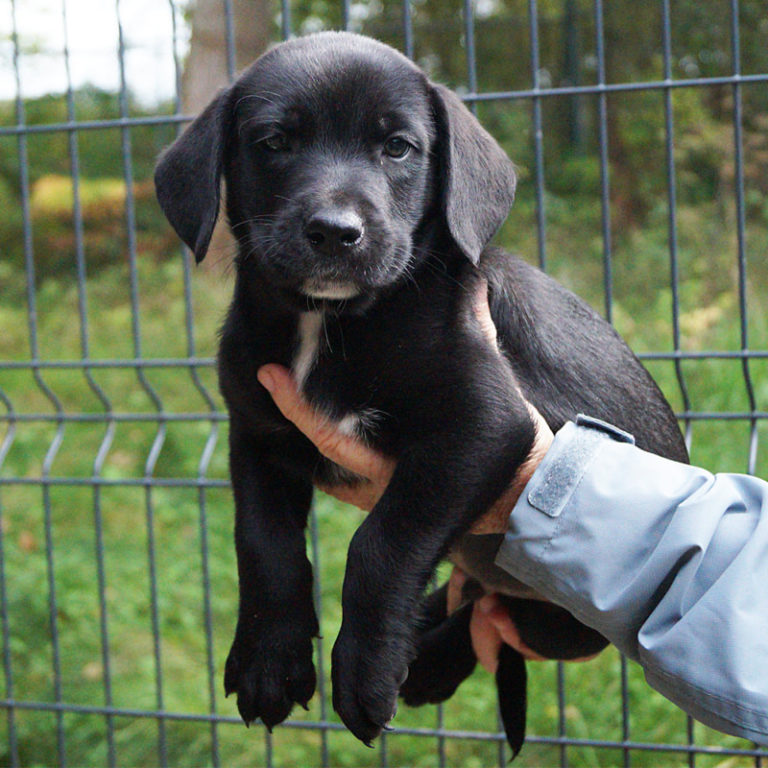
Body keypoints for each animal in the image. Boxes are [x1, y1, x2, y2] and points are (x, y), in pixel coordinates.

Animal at [153, 31, 688, 756]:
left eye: (398, 147)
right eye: (274, 142)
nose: (335, 231)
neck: (328, 322)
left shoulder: (484, 425)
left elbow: (382, 543)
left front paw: (362, 669)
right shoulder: (257, 434)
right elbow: (264, 546)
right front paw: (271, 660)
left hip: (565, 621)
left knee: (486, 609)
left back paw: (422, 658)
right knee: (471, 597)